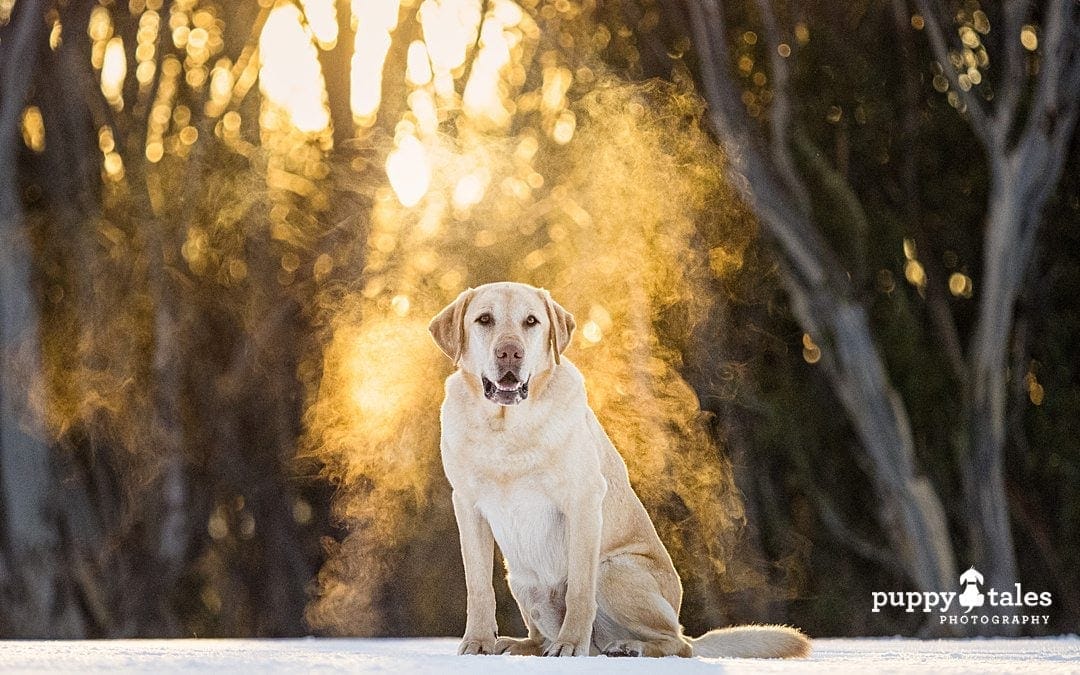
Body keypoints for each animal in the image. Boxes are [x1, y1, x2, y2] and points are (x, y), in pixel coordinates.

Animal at [429, 280, 812, 656]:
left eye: (531, 321)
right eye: (484, 319)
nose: (510, 353)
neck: (506, 427)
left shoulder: (583, 501)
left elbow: (579, 590)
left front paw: (570, 645)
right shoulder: (468, 507)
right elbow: (479, 586)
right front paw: (477, 642)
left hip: (613, 570)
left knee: (678, 644)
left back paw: (627, 647)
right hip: (523, 581)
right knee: (541, 640)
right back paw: (516, 645)